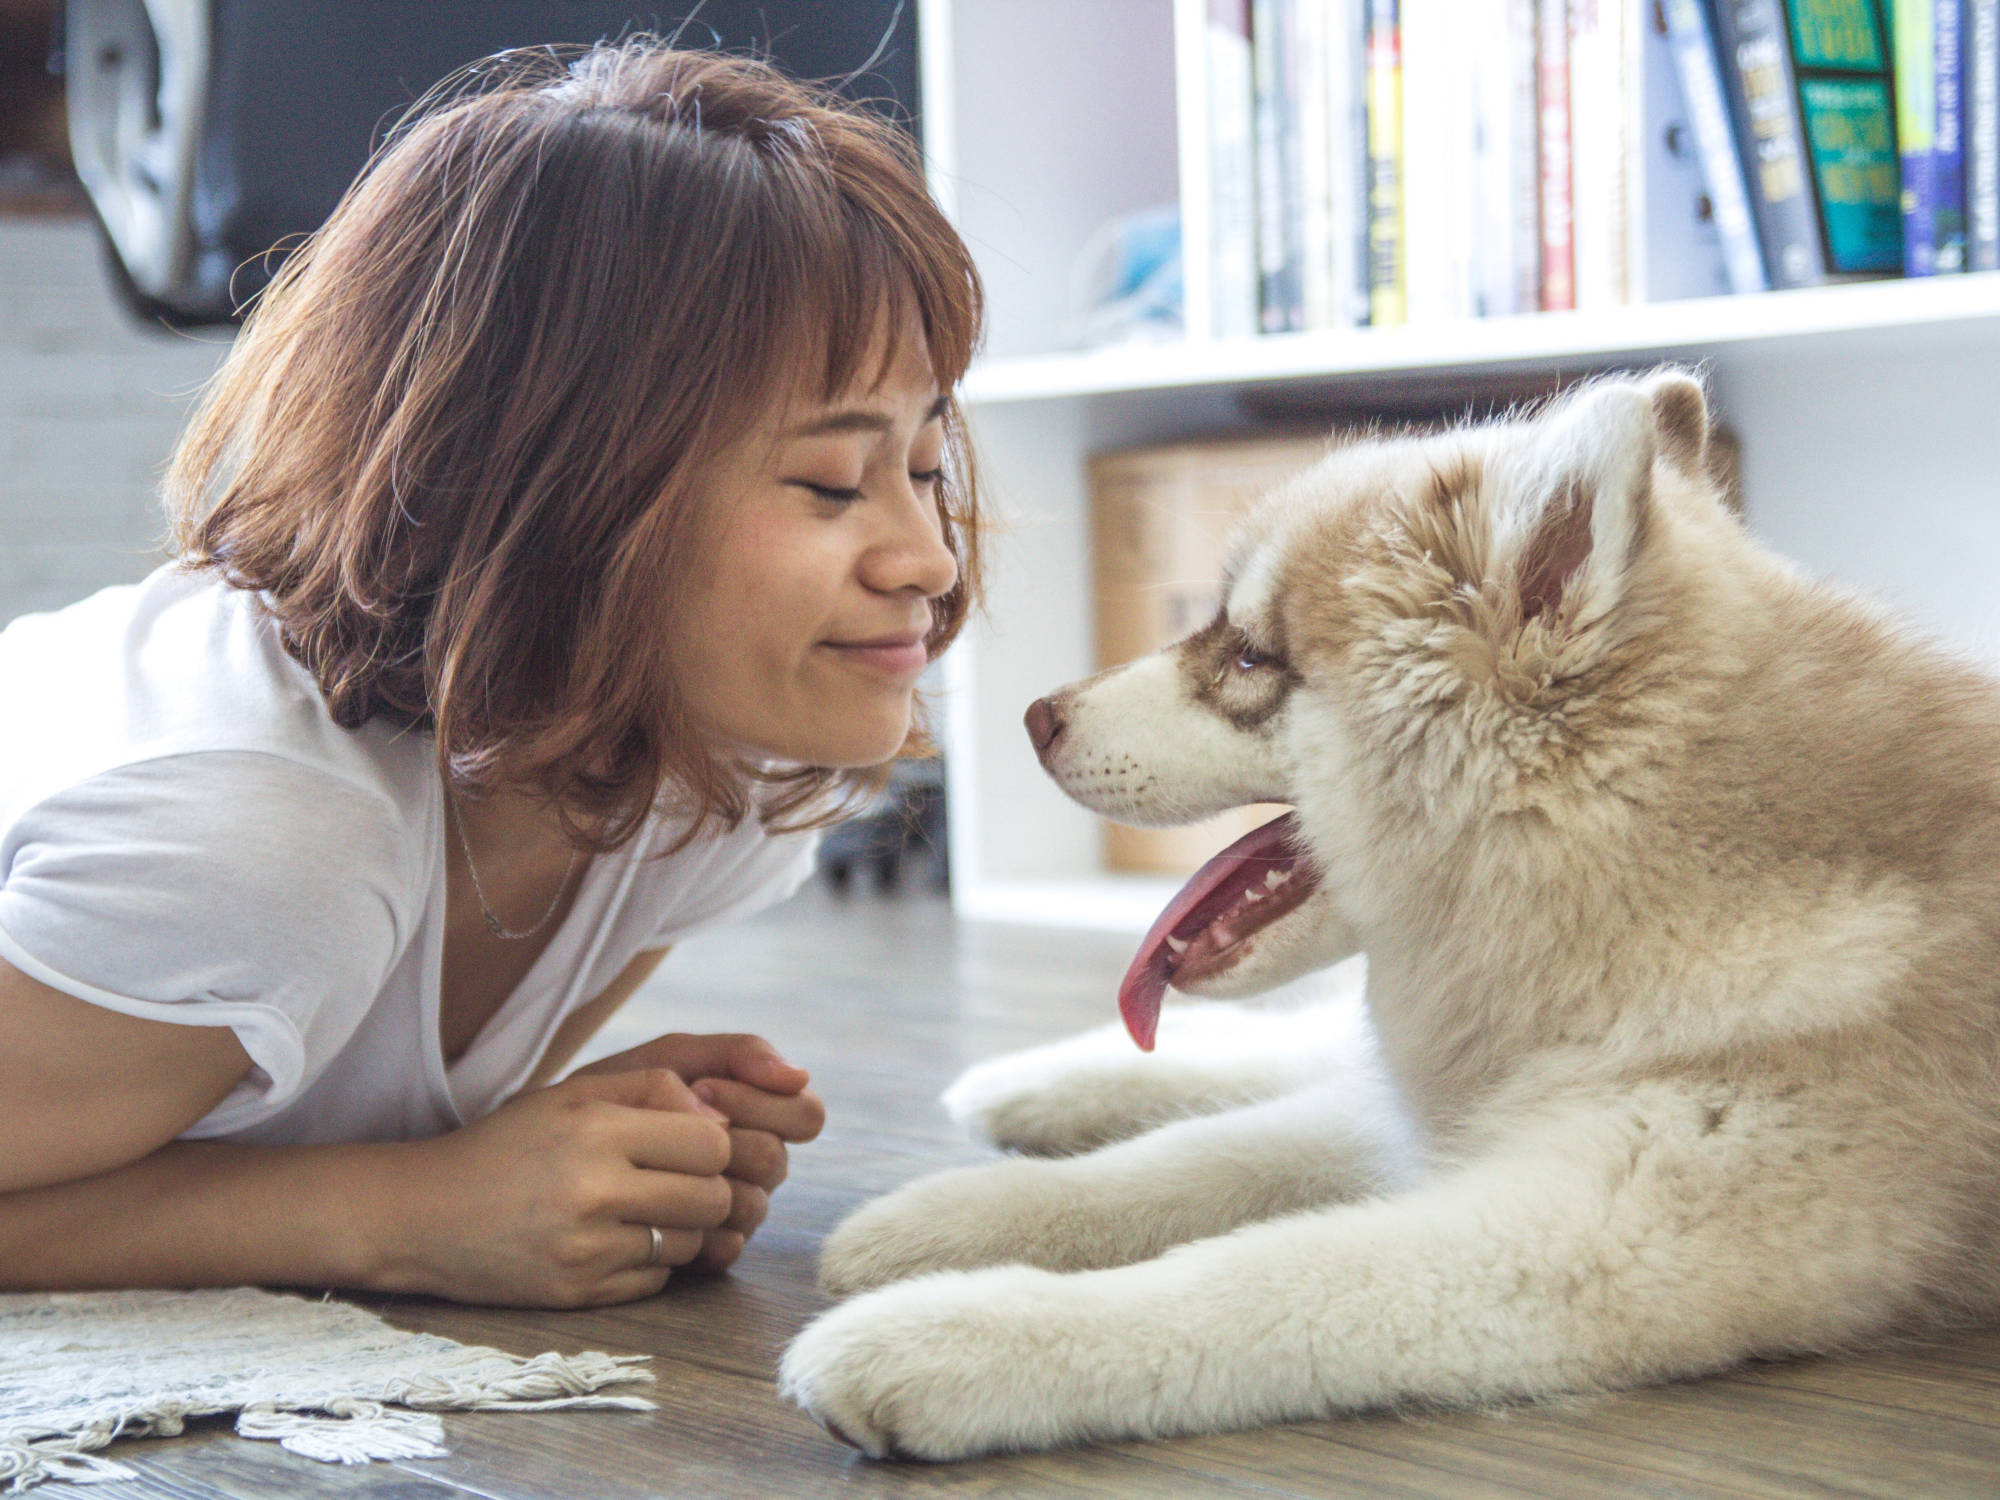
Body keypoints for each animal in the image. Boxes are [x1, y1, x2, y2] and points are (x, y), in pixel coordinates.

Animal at [776, 370, 2000, 1464]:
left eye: (1248, 655)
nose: (1034, 717)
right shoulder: (1460, 1124)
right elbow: (1191, 1161)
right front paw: (945, 1218)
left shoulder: (1591, 1234)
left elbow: (1250, 1277)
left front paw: (951, 1336)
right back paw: (1033, 1086)